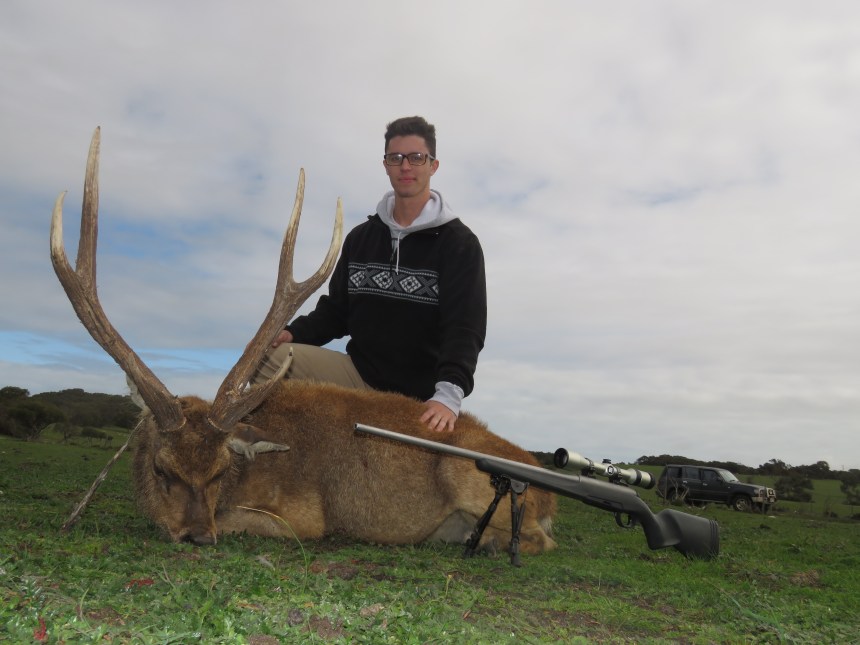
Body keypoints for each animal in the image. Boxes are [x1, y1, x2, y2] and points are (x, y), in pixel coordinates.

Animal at [50, 128, 557, 557]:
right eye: (162, 469)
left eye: (218, 471)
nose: (198, 536)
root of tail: (549, 491)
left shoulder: (304, 518)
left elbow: (246, 520)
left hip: (467, 474)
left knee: (541, 540)